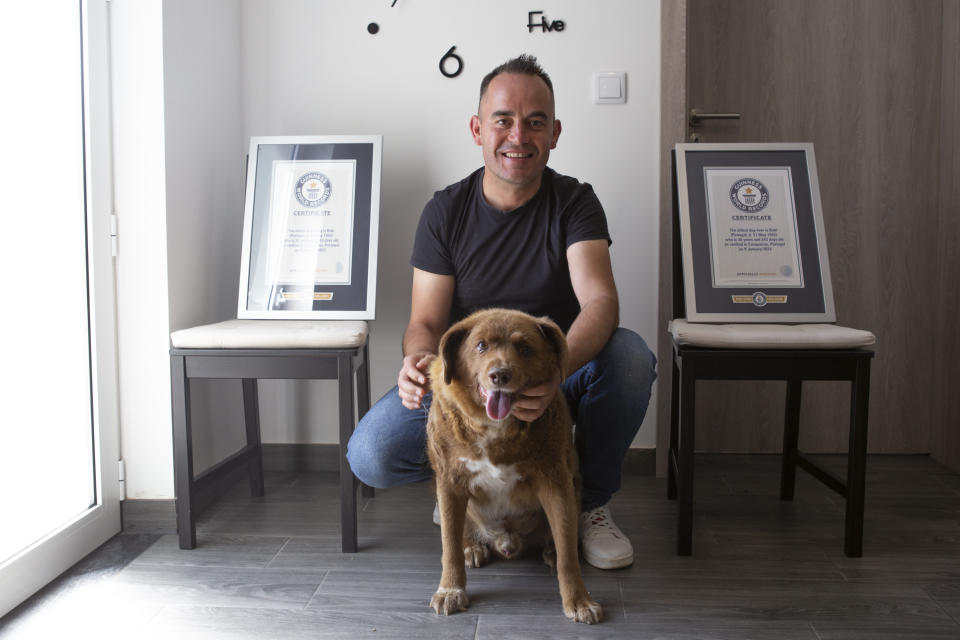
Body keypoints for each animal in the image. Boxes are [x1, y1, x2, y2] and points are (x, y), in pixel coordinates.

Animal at [426, 308, 600, 624]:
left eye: (525, 348)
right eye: (481, 345)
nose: (500, 375)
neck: (496, 428)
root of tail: (507, 542)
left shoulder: (556, 483)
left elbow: (568, 555)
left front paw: (579, 600)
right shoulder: (449, 482)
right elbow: (449, 546)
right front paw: (450, 590)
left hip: (575, 485)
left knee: (560, 538)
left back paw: (551, 550)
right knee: (459, 533)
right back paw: (472, 547)